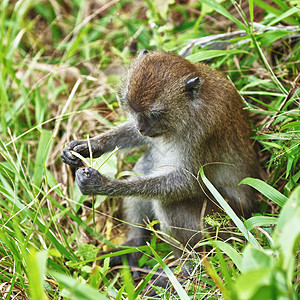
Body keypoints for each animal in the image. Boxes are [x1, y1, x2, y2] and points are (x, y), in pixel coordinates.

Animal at [61, 48, 260, 274]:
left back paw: (187, 270)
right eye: (134, 110)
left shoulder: (203, 130)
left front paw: (103, 184)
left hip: (224, 225)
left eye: (155, 114)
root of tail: (249, 211)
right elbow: (136, 138)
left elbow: (188, 183)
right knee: (145, 165)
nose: (142, 127)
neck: (192, 106)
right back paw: (135, 244)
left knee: (169, 203)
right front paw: (85, 146)